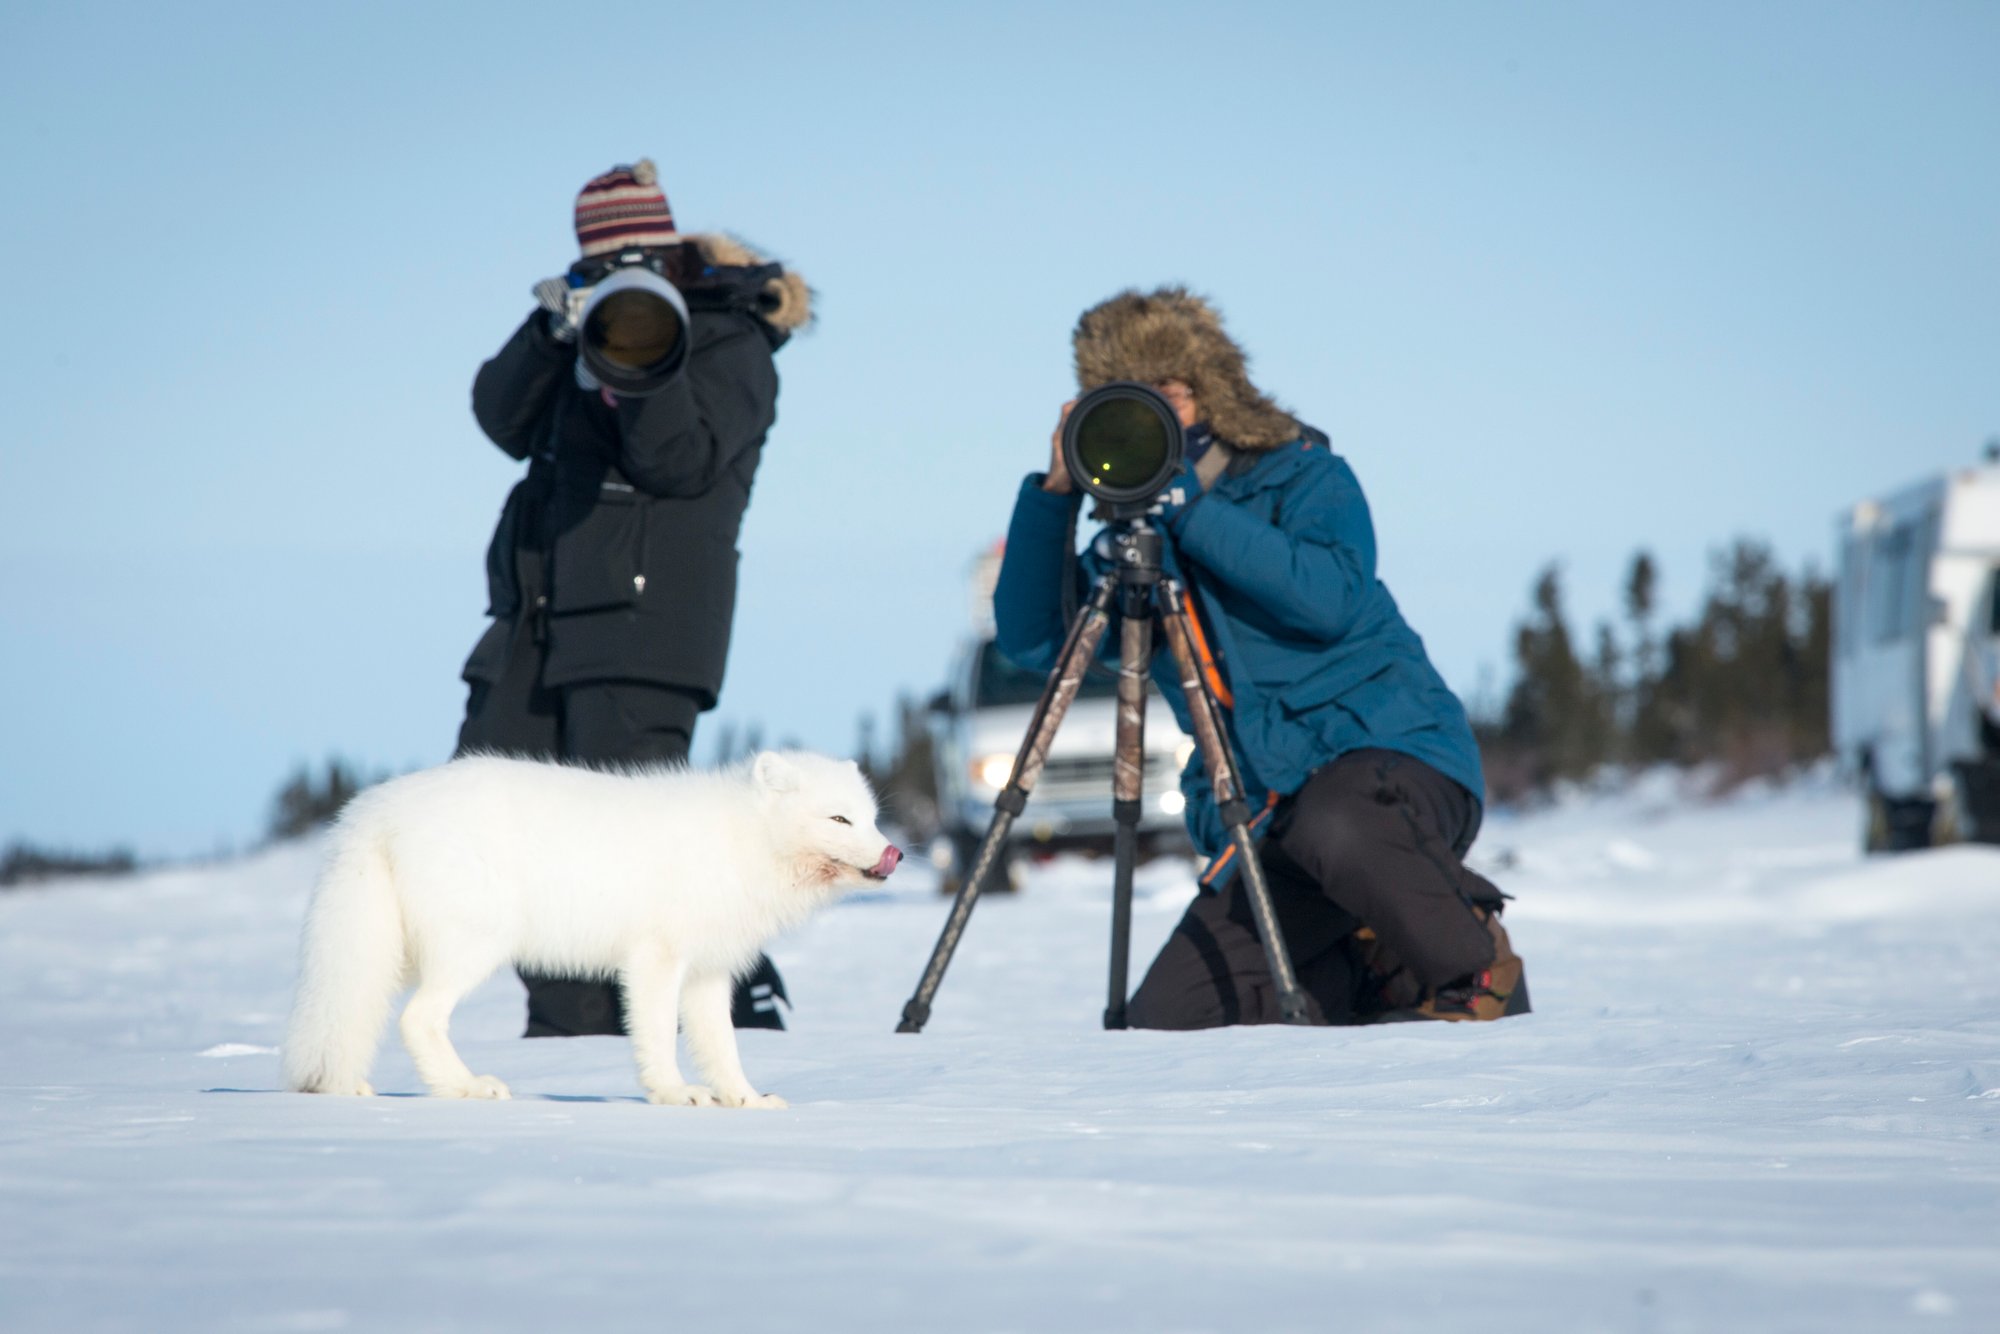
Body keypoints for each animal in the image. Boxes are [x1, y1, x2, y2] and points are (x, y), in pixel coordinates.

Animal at [280, 752, 900, 1104]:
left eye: (870, 819)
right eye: (838, 819)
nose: (893, 853)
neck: (739, 841)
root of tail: (374, 809)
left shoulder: (708, 973)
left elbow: (722, 1049)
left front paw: (745, 1100)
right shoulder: (656, 960)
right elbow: (657, 1037)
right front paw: (673, 1093)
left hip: (394, 956)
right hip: (473, 949)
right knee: (417, 1020)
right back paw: (465, 1088)